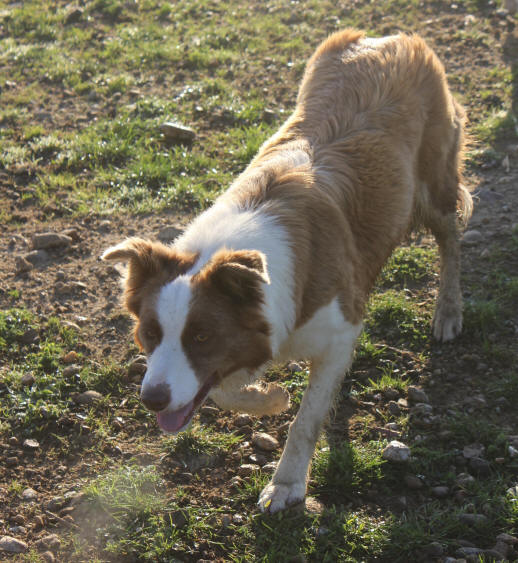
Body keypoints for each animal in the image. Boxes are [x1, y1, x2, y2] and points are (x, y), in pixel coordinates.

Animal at [103, 30, 474, 516]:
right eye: (148, 333)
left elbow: (306, 419)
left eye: (201, 336)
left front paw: (286, 483)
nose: (151, 401)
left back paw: (448, 311)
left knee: (451, 241)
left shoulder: (337, 330)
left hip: (435, 186)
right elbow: (222, 390)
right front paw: (269, 398)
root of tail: (388, 37)